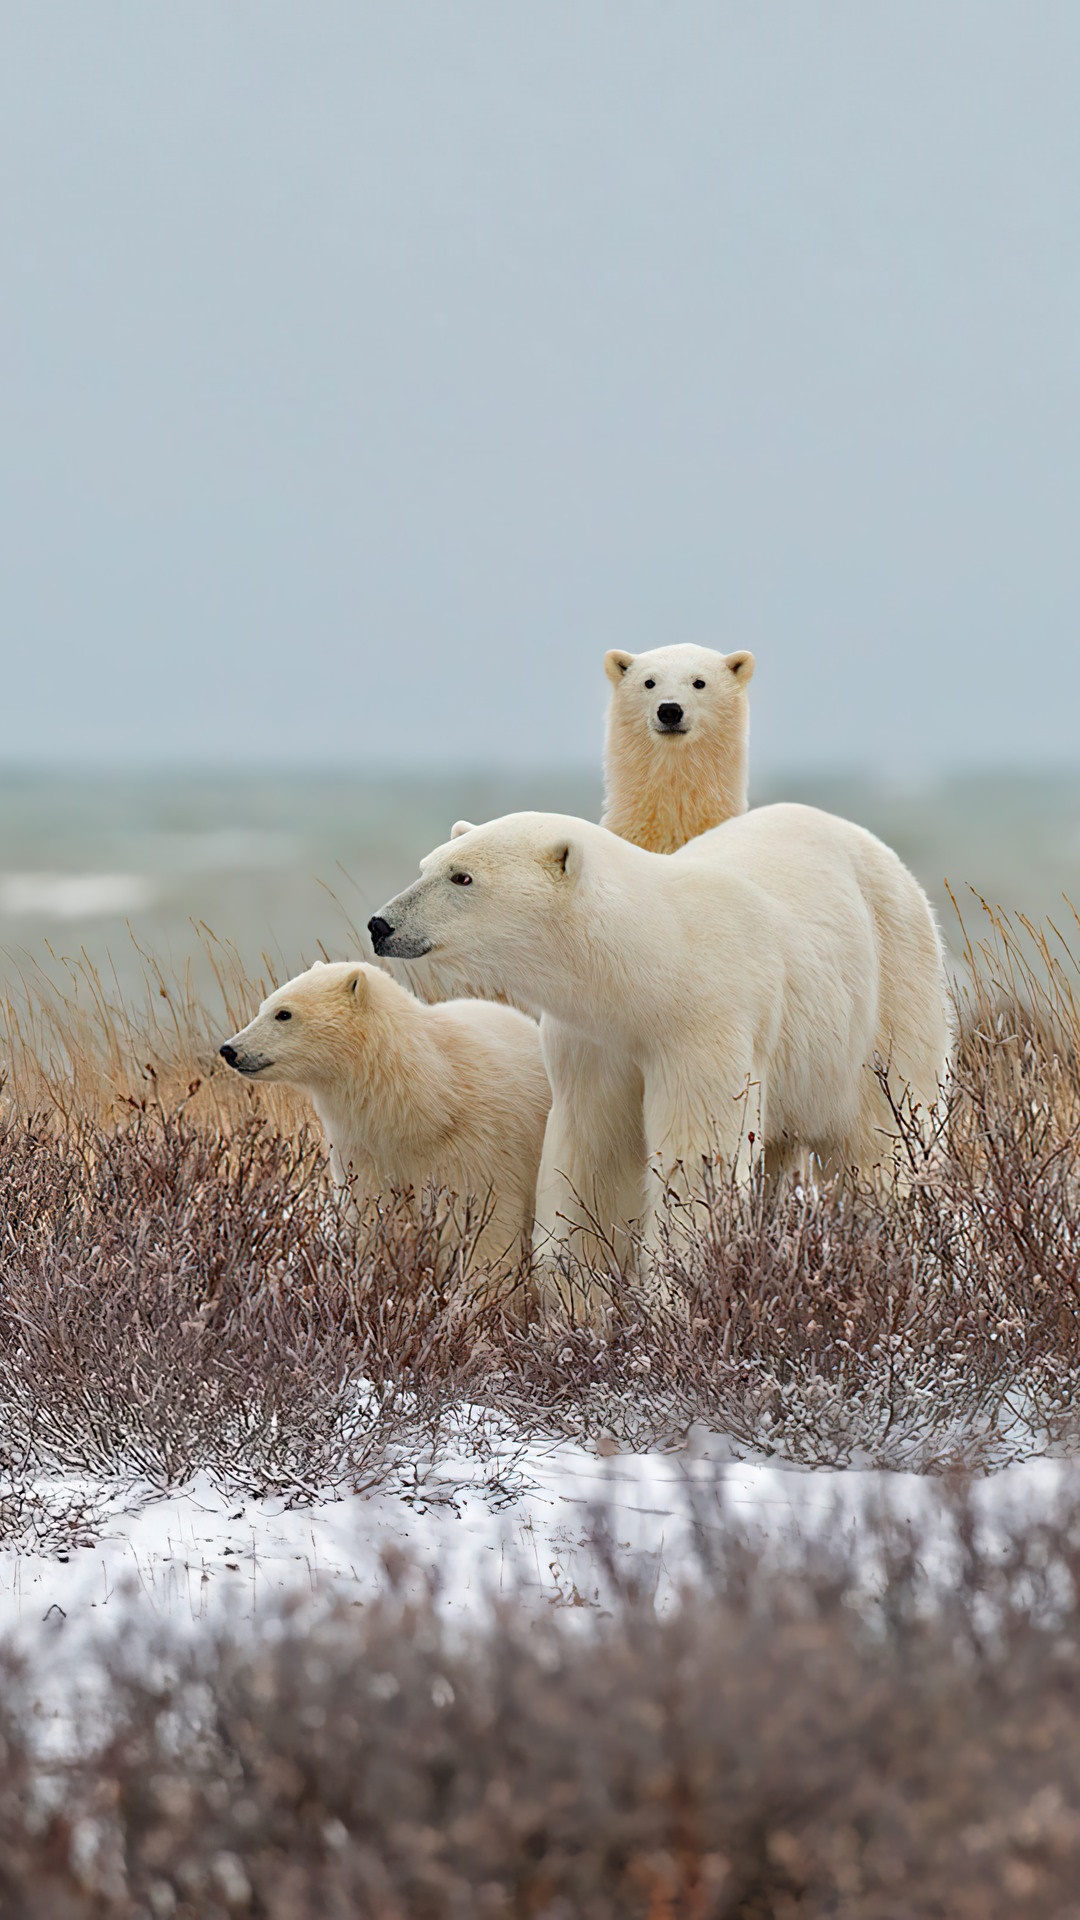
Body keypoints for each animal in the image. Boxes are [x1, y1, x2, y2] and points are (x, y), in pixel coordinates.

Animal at [219, 961, 551, 1284]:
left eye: (283, 1013)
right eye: (263, 1006)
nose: (229, 1049)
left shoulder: (476, 1150)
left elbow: (484, 1227)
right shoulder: (364, 1150)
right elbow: (372, 1217)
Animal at [368, 805, 953, 1272]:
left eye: (462, 877)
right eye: (427, 865)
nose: (380, 924)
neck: (657, 964)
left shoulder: (706, 1023)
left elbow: (696, 1160)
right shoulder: (593, 1041)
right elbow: (594, 1156)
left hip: (887, 990)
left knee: (884, 1139)